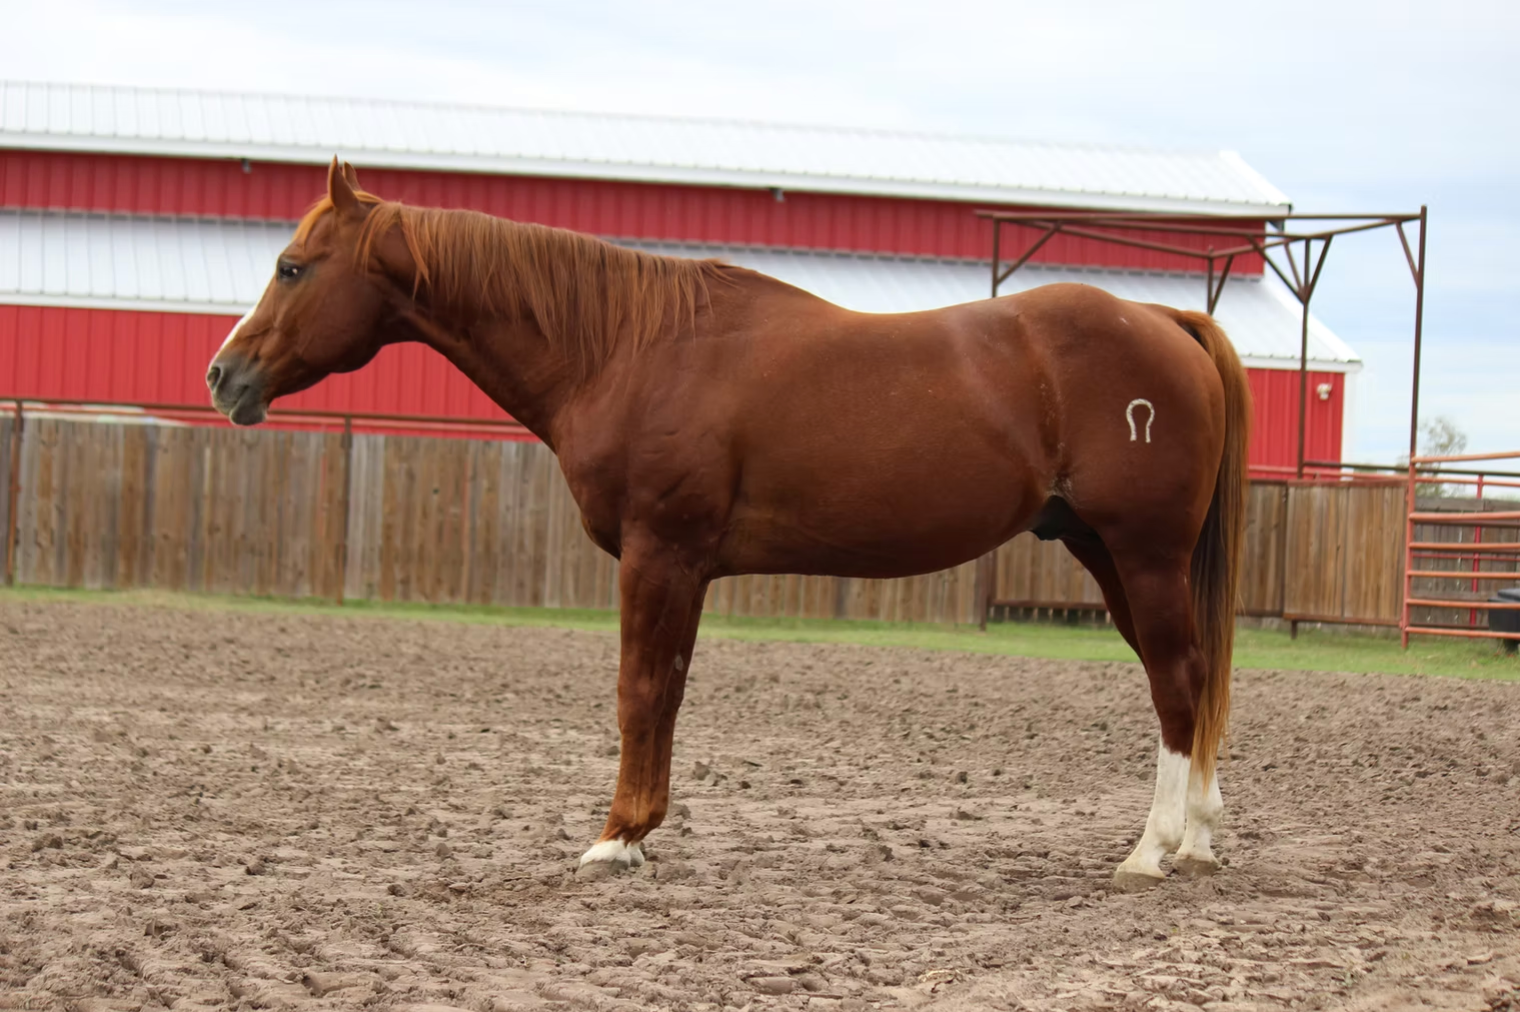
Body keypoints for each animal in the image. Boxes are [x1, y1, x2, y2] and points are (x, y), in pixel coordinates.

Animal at [207, 158, 1250, 890]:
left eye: (291, 266)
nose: (224, 376)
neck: (625, 347)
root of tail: (1162, 317)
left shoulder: (658, 556)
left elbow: (639, 692)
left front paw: (615, 839)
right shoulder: (683, 567)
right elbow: (667, 691)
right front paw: (637, 835)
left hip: (1142, 554)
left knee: (1175, 680)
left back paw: (1150, 852)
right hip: (1103, 553)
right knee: (1189, 679)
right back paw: (1197, 840)